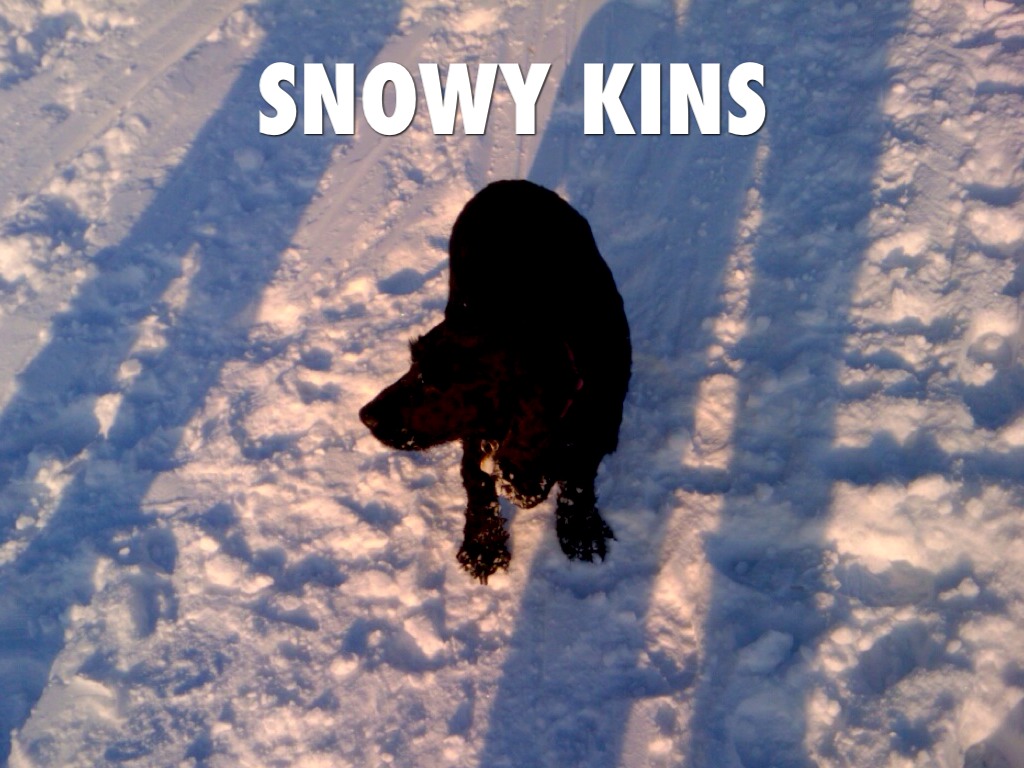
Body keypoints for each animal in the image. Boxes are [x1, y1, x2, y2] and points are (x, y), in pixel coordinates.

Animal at [359, 180, 631, 583]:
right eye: (413, 363)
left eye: (433, 381)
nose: (366, 416)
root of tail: (509, 184)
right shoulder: (477, 432)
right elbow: (478, 481)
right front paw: (482, 548)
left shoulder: (595, 426)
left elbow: (578, 477)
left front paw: (581, 533)